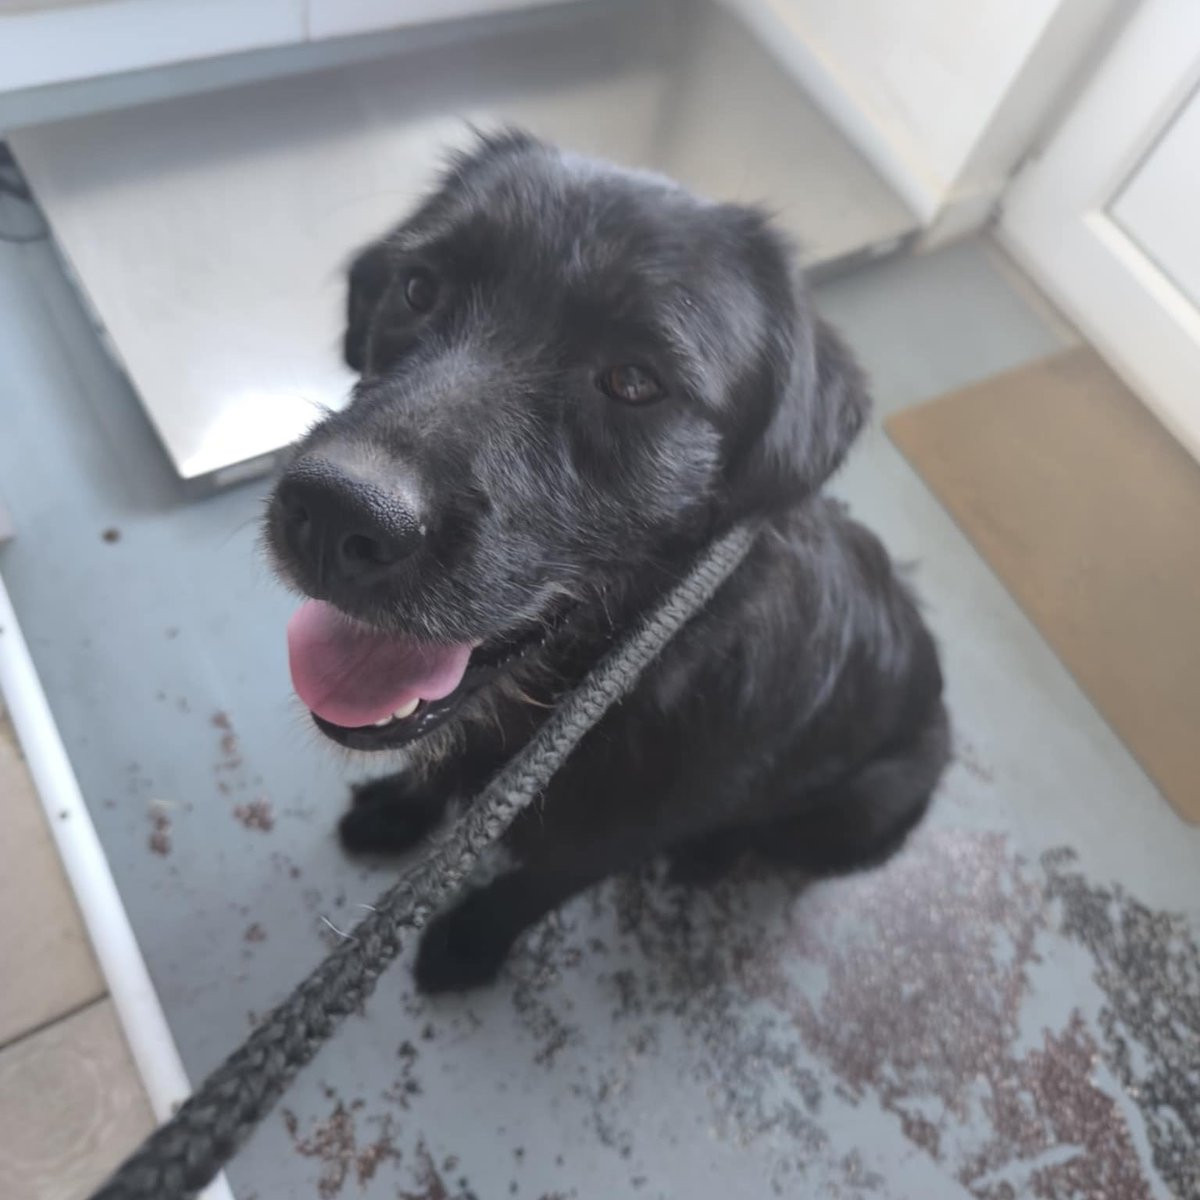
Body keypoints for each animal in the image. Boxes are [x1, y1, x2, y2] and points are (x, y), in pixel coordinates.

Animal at [265, 130, 949, 994]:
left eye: (633, 380)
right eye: (418, 288)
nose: (334, 514)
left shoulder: (629, 830)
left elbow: (543, 882)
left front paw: (473, 939)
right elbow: (440, 775)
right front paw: (401, 808)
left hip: (858, 813)